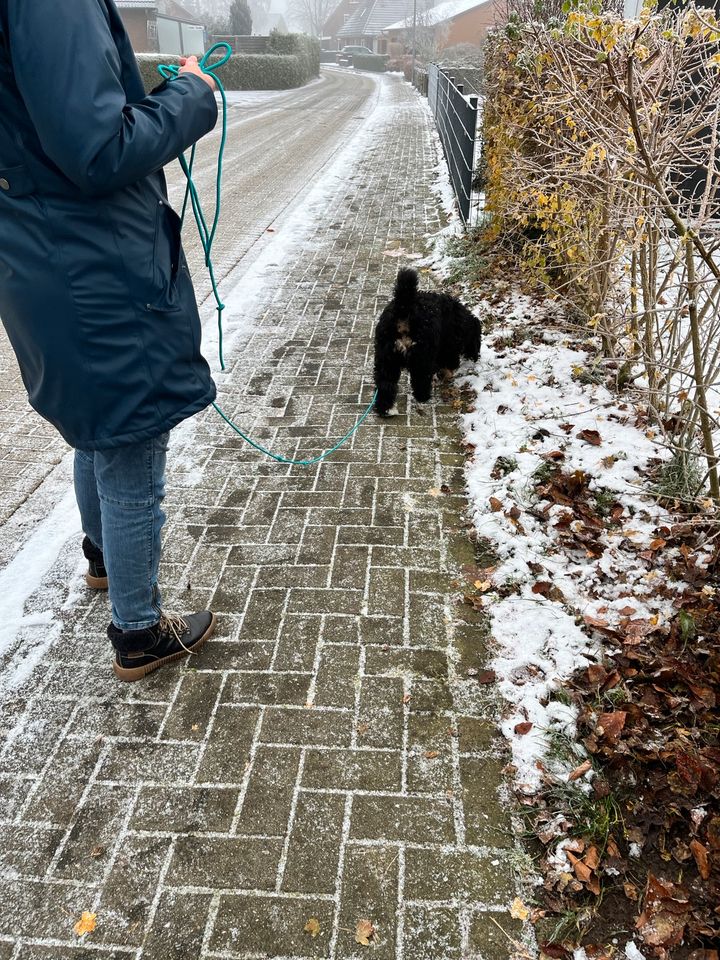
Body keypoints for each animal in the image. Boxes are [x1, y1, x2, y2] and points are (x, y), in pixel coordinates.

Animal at [374, 270, 480, 420]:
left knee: (385, 383)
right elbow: (448, 362)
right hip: (421, 356)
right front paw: (446, 374)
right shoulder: (449, 346)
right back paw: (423, 396)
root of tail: (404, 310)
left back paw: (386, 409)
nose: (476, 357)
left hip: (387, 358)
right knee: (420, 379)